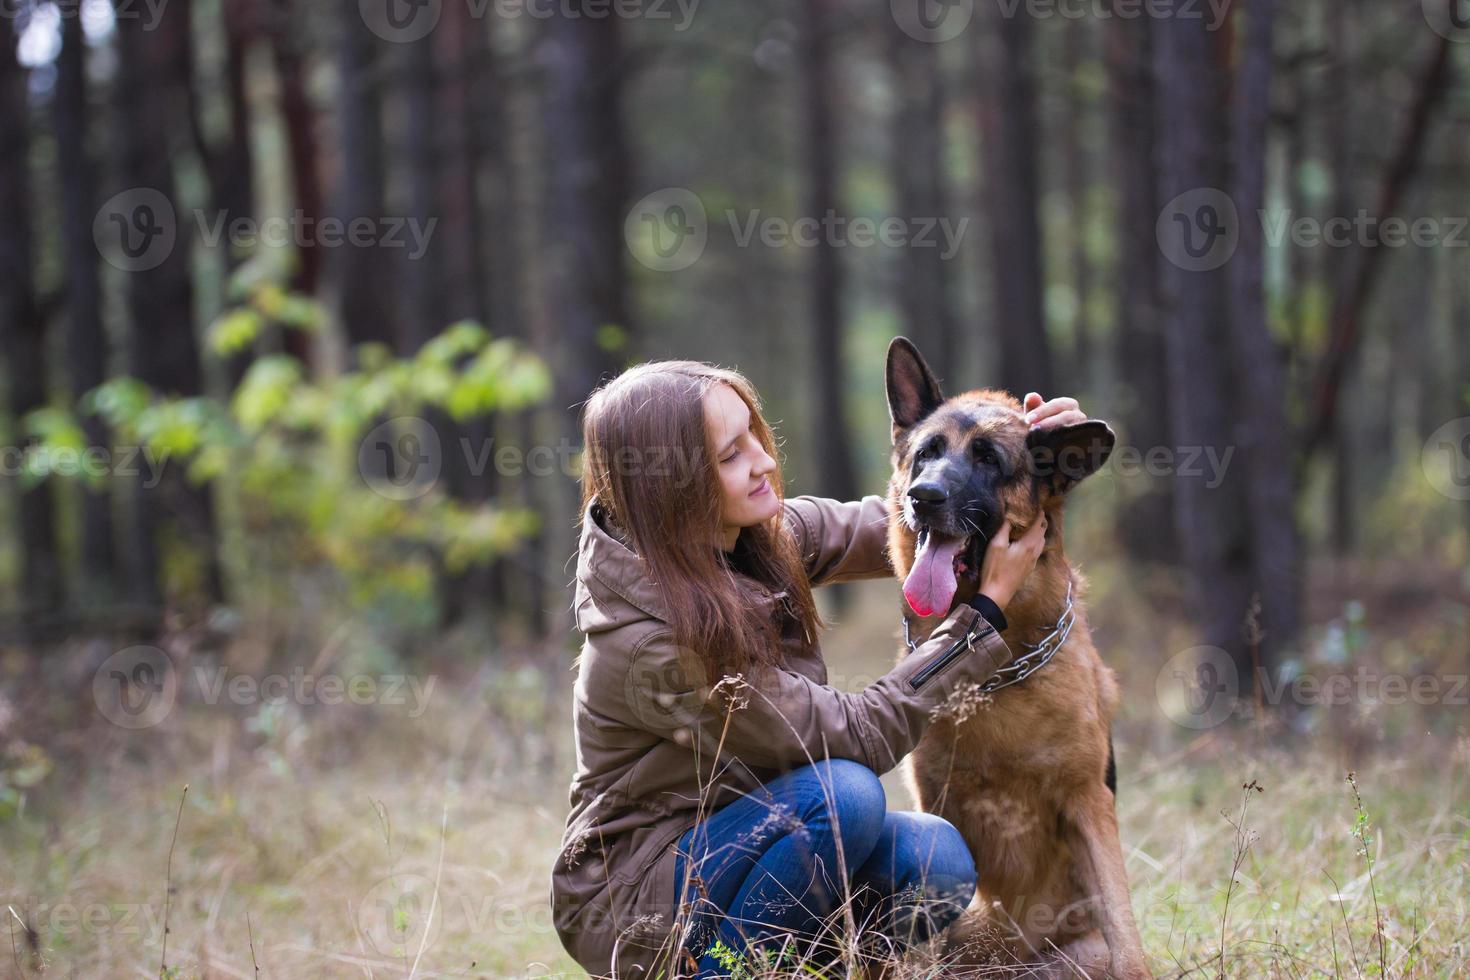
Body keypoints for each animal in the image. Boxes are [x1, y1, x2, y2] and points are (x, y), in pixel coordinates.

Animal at [876, 339, 1152, 980]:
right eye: (925, 454)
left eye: (988, 460)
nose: (923, 498)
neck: (997, 674)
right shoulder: (938, 811)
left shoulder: (1088, 804)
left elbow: (1127, 937)